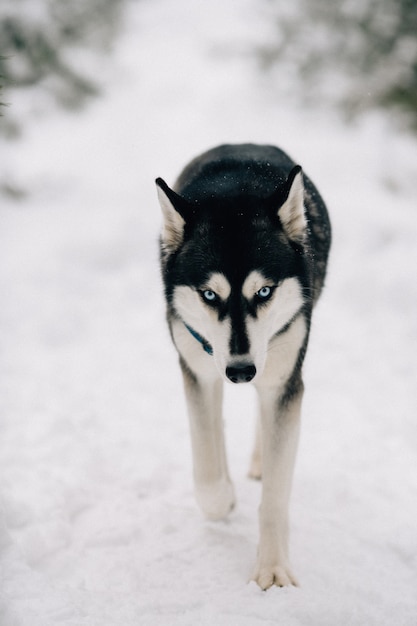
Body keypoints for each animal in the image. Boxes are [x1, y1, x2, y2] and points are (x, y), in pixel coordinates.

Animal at [154, 144, 330, 588]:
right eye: (209, 294)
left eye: (264, 291)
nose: (240, 372)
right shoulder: (198, 369)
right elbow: (207, 470)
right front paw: (223, 499)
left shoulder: (281, 375)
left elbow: (275, 499)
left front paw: (273, 569)